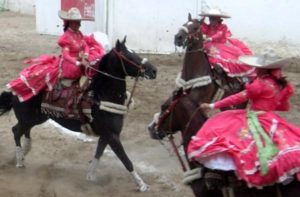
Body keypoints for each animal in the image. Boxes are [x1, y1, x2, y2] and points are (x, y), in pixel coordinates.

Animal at [0, 37, 158, 192]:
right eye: (128, 55)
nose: (154, 70)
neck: (100, 95)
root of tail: (14, 88)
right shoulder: (112, 136)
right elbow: (126, 160)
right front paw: (142, 185)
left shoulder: (106, 136)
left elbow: (98, 153)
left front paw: (91, 176)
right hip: (28, 118)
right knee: (16, 131)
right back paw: (20, 160)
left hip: (37, 118)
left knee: (24, 130)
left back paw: (25, 151)